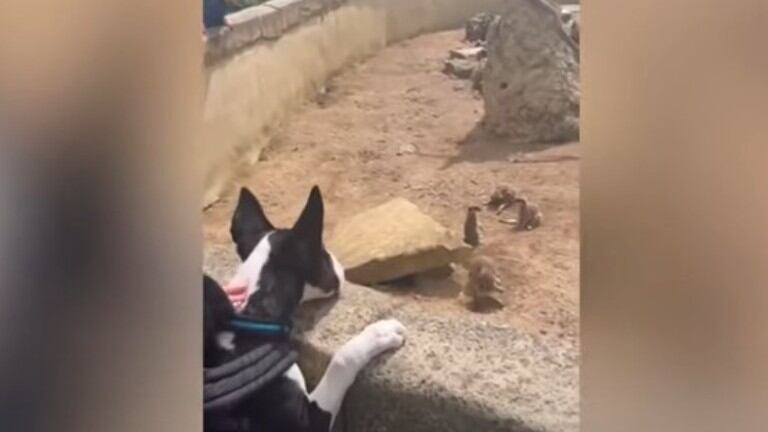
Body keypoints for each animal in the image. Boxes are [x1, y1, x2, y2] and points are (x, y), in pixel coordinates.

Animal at [204, 186, 408, 432]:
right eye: (324, 253)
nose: (340, 265)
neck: (250, 312)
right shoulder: (305, 422)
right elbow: (341, 360)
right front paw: (380, 334)